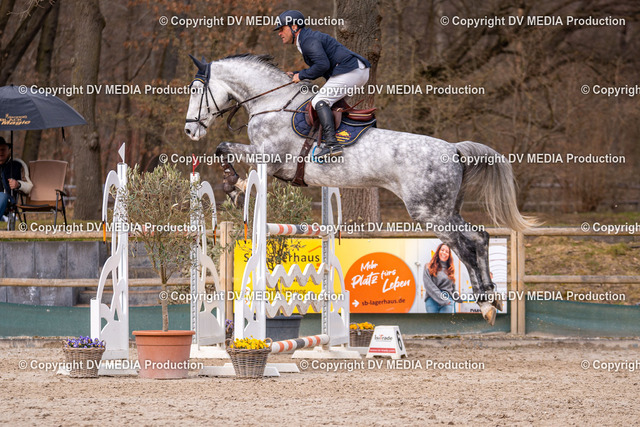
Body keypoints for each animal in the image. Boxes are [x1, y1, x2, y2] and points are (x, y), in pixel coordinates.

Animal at [184, 53, 535, 324]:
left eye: (197, 89)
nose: (189, 131)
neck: (271, 103)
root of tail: (454, 149)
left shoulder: (269, 159)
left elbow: (224, 149)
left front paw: (237, 188)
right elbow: (224, 149)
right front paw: (234, 186)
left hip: (430, 212)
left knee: (463, 246)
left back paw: (485, 302)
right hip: (448, 209)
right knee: (479, 237)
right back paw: (491, 298)